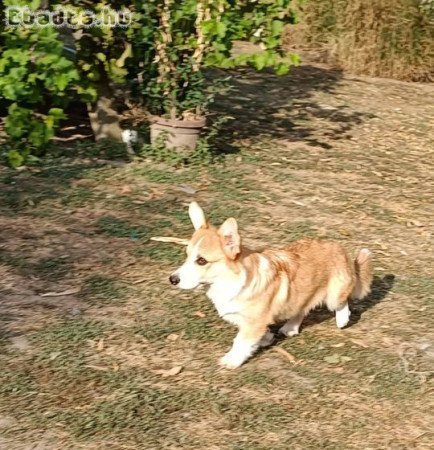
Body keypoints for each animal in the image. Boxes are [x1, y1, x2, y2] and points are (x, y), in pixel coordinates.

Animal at [170, 202, 372, 368]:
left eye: (201, 261)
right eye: (187, 256)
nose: (172, 279)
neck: (229, 280)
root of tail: (340, 249)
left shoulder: (253, 324)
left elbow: (240, 342)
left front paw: (231, 360)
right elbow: (258, 334)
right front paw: (266, 339)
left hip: (334, 296)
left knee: (341, 303)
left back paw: (342, 319)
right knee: (301, 309)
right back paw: (290, 328)